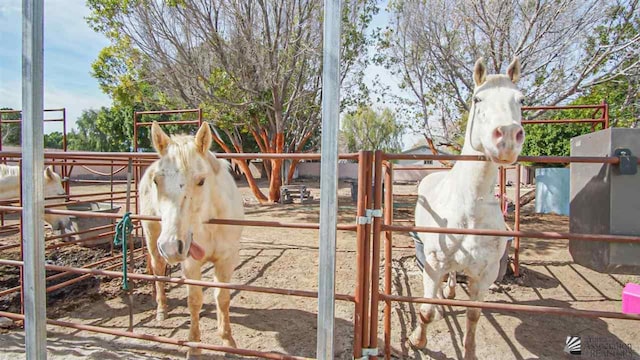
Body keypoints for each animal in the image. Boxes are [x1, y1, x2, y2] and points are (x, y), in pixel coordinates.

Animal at [140, 121, 245, 358]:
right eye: (156, 181)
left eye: (201, 181)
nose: (171, 247)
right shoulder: (190, 263)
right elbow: (195, 301)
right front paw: (194, 347)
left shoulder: (227, 260)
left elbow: (222, 298)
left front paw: (228, 341)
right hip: (152, 237)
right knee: (158, 270)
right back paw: (161, 309)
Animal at [410, 57, 524, 358]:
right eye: (477, 98)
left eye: (521, 99)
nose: (507, 137)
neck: (470, 207)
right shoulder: (433, 263)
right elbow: (427, 311)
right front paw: (418, 340)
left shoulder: (486, 274)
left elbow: (474, 316)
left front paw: (470, 351)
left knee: (452, 275)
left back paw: (449, 292)